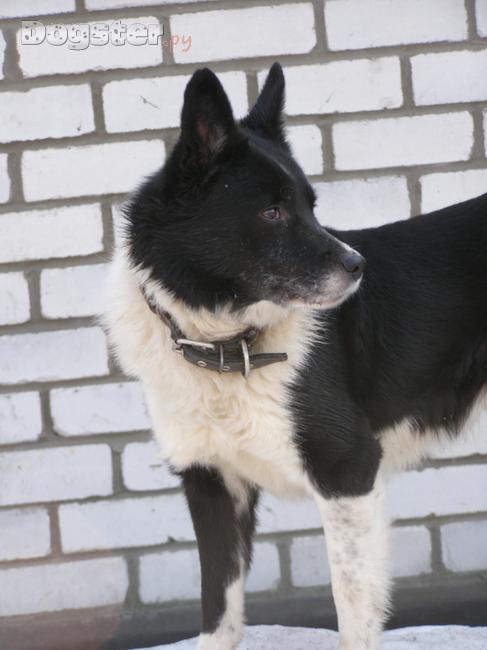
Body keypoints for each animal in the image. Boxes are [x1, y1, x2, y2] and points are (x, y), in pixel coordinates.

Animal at [104, 62, 487, 650]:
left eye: (311, 205)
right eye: (272, 211)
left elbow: (351, 605)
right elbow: (218, 611)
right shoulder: (213, 485)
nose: (359, 267)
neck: (229, 347)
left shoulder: (348, 471)